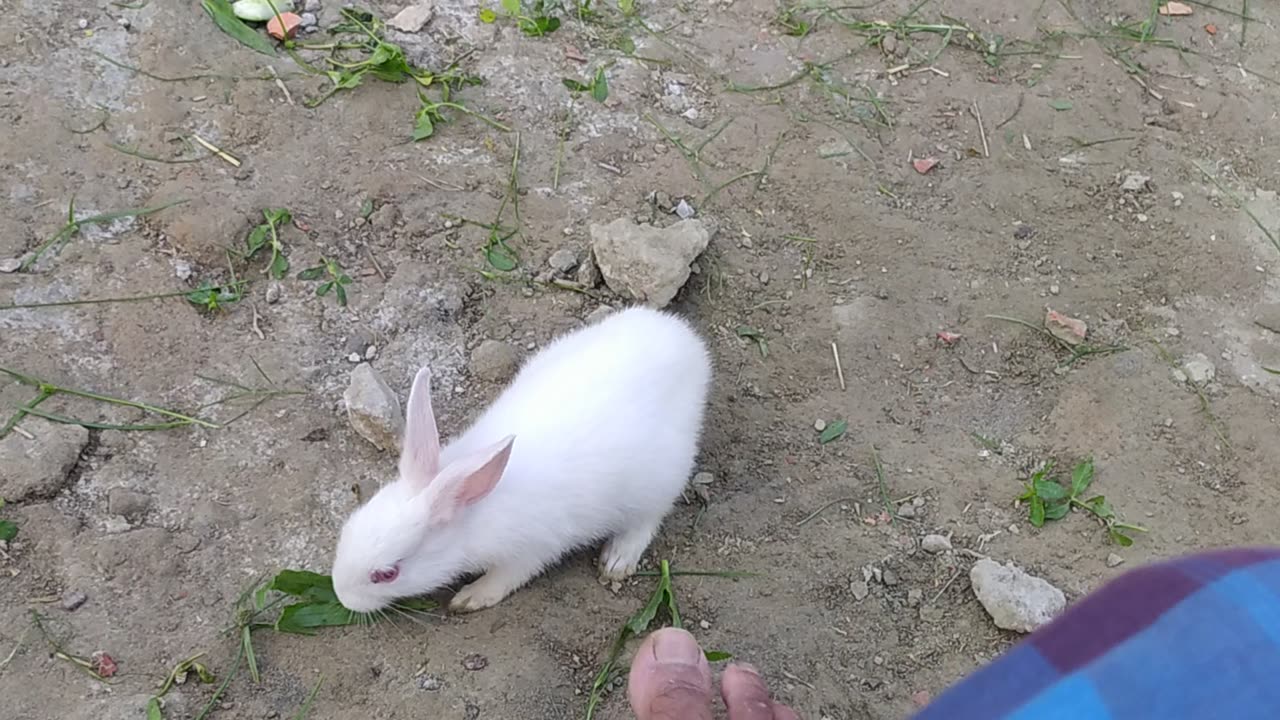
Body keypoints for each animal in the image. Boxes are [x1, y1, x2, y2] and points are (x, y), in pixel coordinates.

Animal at [330, 306, 712, 614]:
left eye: (387, 574)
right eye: (347, 527)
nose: (342, 597)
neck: (470, 515)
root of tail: (688, 343)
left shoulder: (531, 550)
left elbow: (506, 577)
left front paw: (470, 598)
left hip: (659, 477)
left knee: (649, 518)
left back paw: (617, 560)